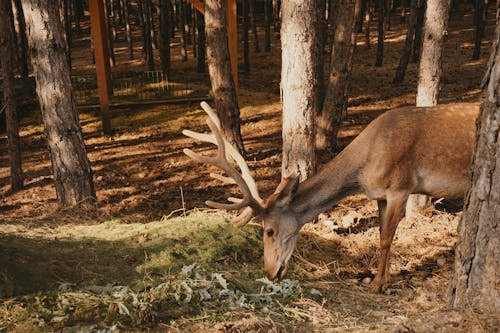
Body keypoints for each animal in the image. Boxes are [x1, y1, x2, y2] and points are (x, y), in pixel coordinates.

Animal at [182, 101, 478, 290]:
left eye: (268, 231)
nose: (269, 271)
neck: (363, 171)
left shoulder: (400, 187)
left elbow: (385, 238)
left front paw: (377, 285)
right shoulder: (380, 195)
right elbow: (382, 235)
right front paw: (382, 280)